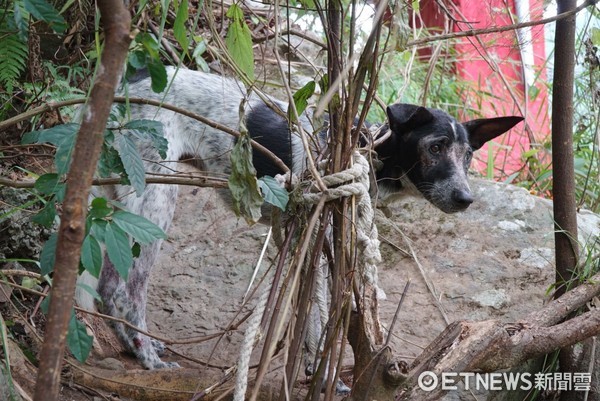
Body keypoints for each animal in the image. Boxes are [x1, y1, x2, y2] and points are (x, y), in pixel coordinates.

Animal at [82, 66, 524, 368]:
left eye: (468, 157)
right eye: (435, 147)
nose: (466, 198)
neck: (364, 148)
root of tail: (129, 82)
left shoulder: (309, 246)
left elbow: (313, 323)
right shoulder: (318, 246)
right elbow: (317, 320)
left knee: (106, 286)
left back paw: (132, 345)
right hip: (157, 201)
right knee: (123, 291)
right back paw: (146, 356)